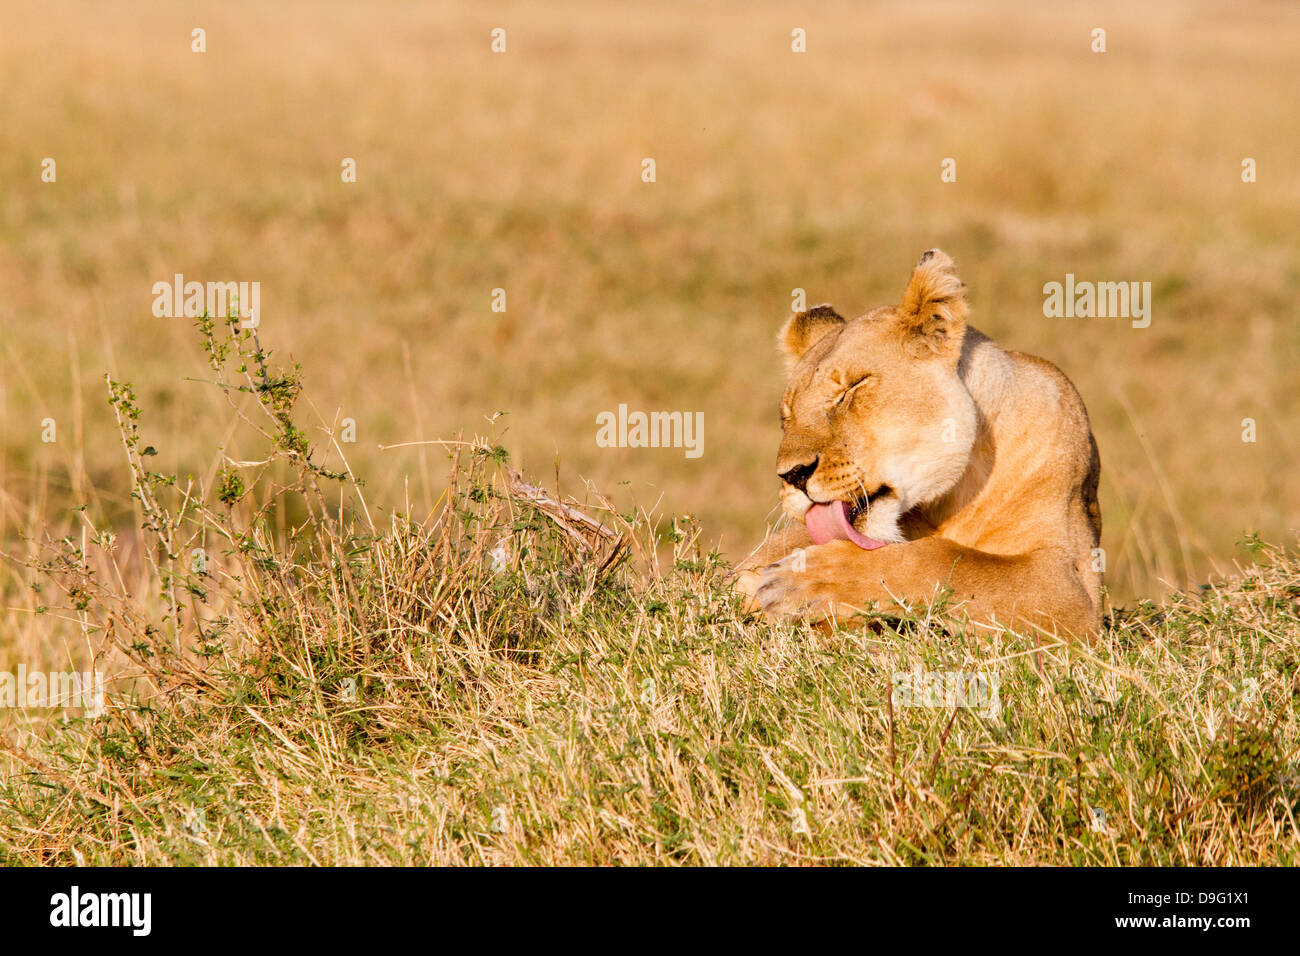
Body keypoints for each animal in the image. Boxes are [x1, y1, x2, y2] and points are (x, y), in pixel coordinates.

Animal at [735, 249, 1103, 639]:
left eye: (852, 388)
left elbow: (948, 561)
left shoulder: (1072, 590)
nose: (792, 476)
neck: (953, 495)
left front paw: (803, 579)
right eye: (785, 418)